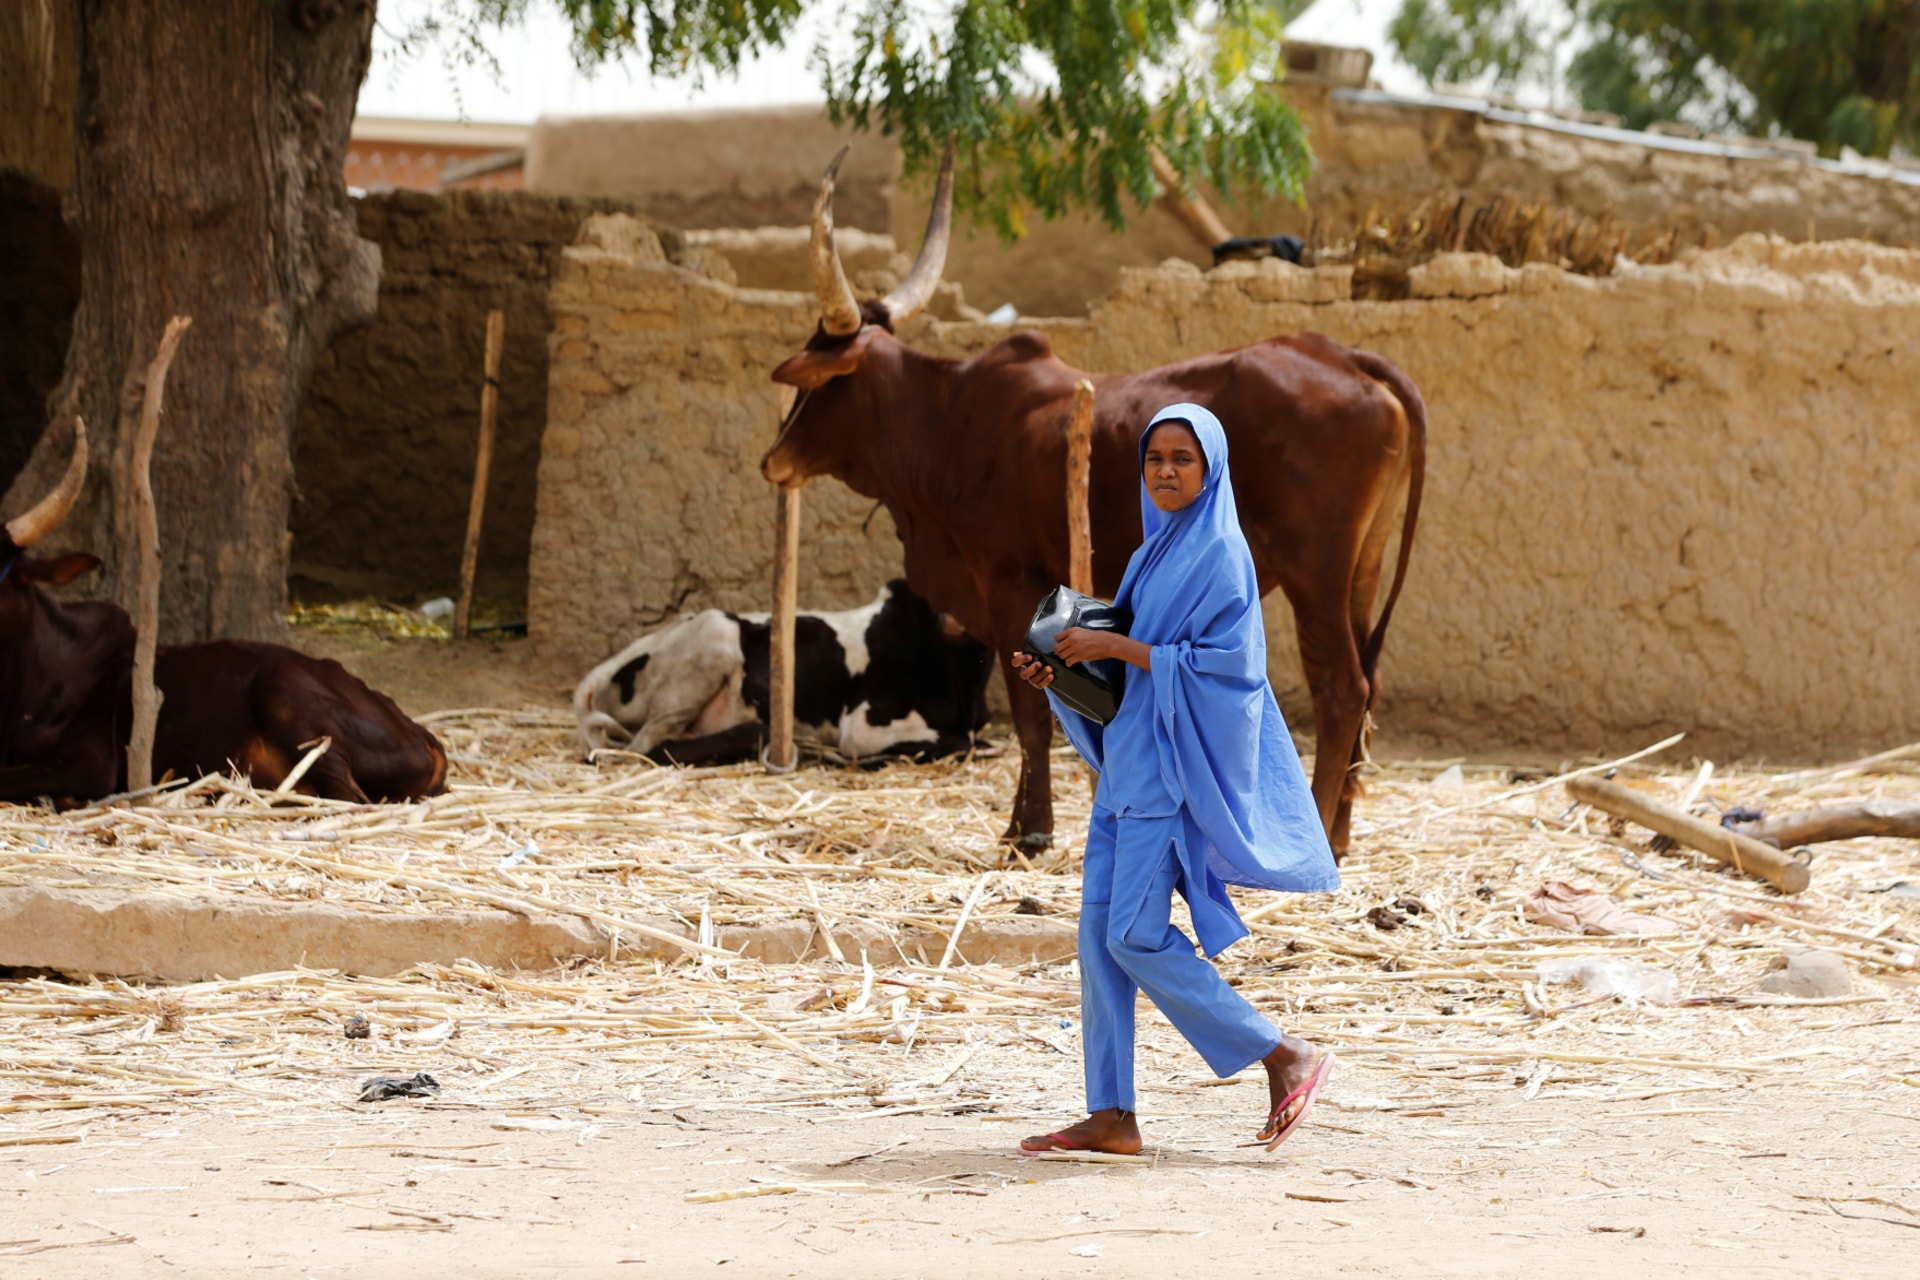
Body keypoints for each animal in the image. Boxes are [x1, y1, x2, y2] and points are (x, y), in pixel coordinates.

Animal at [759, 147, 1428, 857]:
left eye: (819, 386)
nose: (773, 459)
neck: (948, 420)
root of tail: (1346, 355)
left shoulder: (1007, 582)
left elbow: (1030, 717)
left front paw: (1030, 831)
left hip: (1315, 576)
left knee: (1343, 688)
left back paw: (1322, 835)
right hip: (1362, 570)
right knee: (1368, 683)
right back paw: (1343, 831)